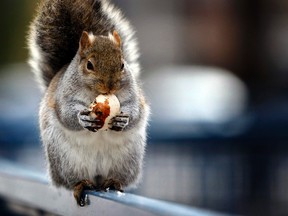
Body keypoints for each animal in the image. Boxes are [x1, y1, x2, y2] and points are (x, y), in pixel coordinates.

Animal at [27, 0, 150, 207]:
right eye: (89, 65)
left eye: (122, 65)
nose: (110, 85)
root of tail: (97, 178)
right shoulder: (63, 96)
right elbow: (66, 113)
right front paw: (82, 118)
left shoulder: (134, 95)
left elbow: (136, 110)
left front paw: (124, 119)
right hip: (65, 162)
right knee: (72, 181)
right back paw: (81, 185)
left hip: (127, 161)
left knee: (116, 178)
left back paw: (113, 182)